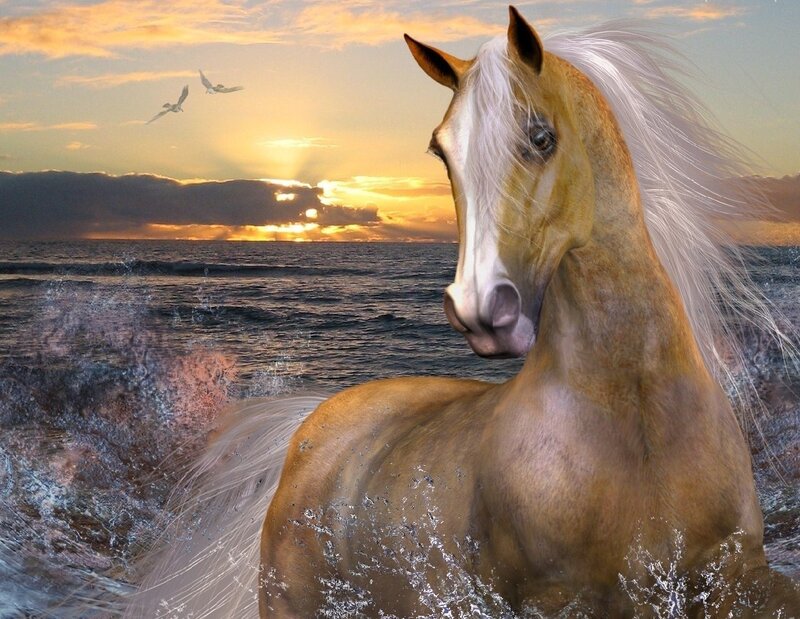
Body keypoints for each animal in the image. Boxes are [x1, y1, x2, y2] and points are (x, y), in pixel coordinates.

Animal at [120, 7, 798, 618]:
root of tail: (304, 433)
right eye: (440, 151)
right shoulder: (562, 601)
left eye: (542, 137)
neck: (634, 415)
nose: (480, 308)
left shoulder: (736, 579)